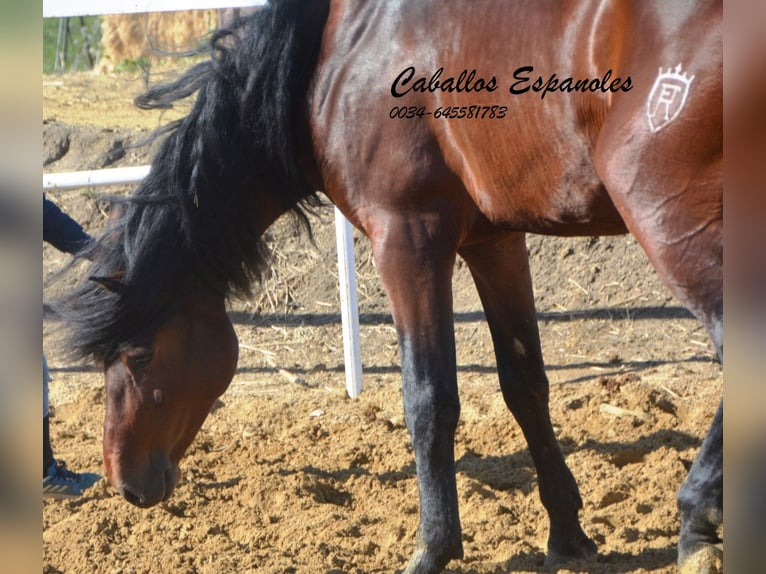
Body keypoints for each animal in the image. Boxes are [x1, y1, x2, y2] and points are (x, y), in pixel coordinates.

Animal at [61, 2, 728, 572]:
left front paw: (433, 547)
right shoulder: (495, 243)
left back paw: (697, 522)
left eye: (138, 356)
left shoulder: (406, 239)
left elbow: (428, 399)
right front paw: (567, 536)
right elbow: (525, 386)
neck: (339, 53)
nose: (123, 481)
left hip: (674, 227)